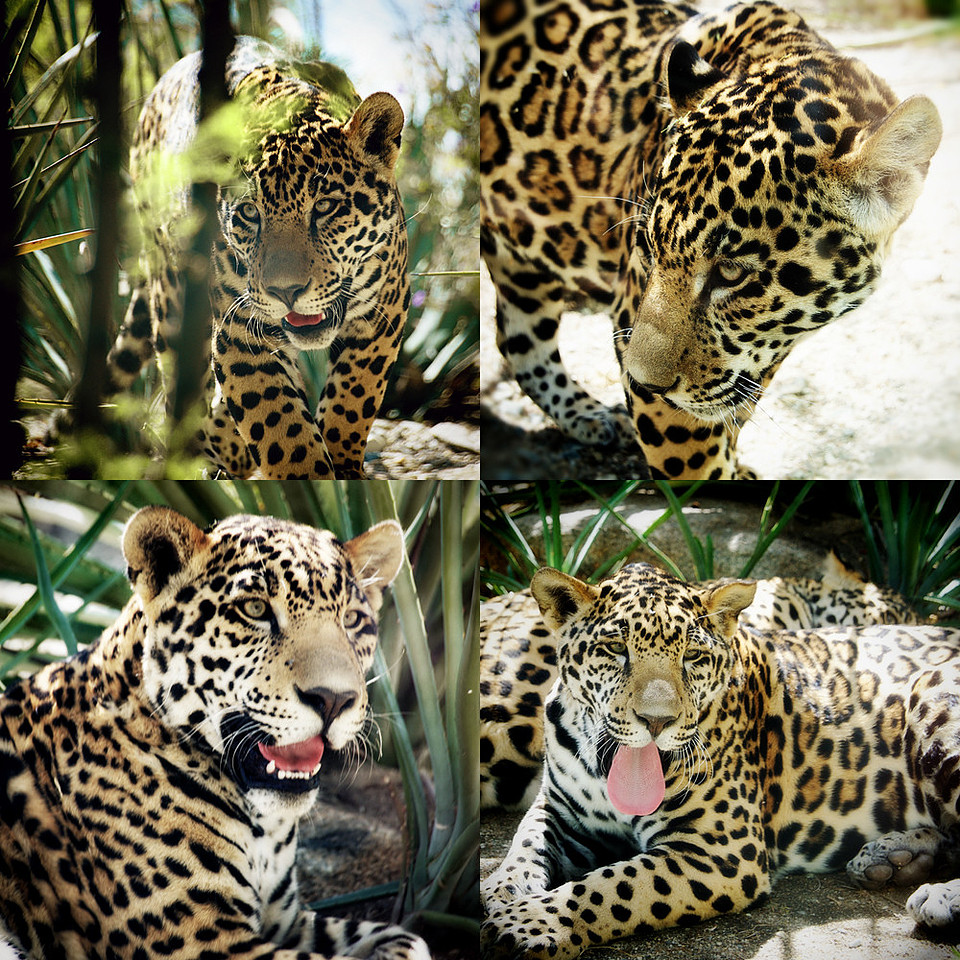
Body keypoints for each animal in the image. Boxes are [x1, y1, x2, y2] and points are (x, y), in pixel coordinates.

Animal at [0, 506, 431, 960]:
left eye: (352, 620)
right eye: (255, 609)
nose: (334, 699)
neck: (263, 830)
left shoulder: (286, 920)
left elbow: (403, 938)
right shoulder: (204, 940)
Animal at [106, 37, 410, 478]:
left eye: (326, 206)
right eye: (250, 212)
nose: (286, 292)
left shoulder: (384, 312)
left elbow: (352, 399)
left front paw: (345, 469)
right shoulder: (239, 336)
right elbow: (281, 426)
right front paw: (312, 475)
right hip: (170, 291)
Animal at [480, 0, 942, 478]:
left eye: (731, 273)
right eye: (648, 248)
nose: (642, 382)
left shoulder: (753, 358)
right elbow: (695, 462)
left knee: (517, 339)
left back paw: (587, 416)